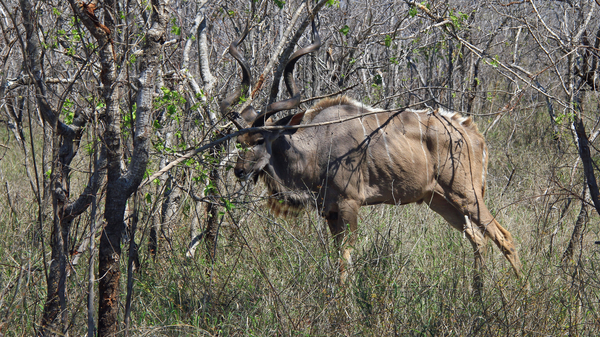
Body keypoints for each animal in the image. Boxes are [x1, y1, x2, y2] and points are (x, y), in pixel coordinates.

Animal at [220, 21, 520, 290]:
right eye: (238, 140)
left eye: (260, 139)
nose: (239, 171)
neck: (316, 145)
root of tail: (473, 134)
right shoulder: (329, 211)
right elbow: (336, 253)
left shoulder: (349, 203)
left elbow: (346, 255)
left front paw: (345, 304)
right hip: (439, 200)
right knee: (477, 238)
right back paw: (477, 293)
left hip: (468, 195)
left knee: (504, 237)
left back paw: (519, 295)